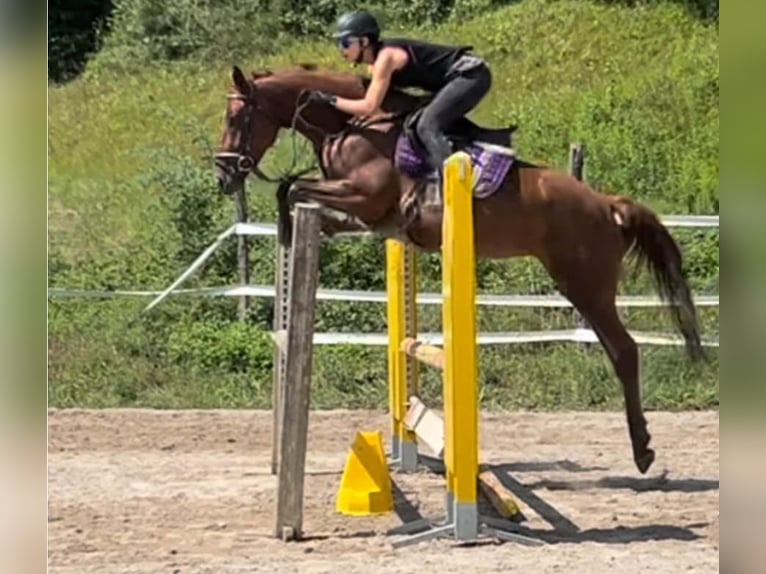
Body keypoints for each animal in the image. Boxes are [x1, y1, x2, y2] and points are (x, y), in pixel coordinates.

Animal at [213, 63, 704, 476]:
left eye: (236, 118)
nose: (223, 174)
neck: (347, 127)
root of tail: (607, 204)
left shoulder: (364, 196)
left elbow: (293, 188)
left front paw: (288, 231)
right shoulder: (367, 215)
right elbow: (297, 193)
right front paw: (291, 237)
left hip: (587, 286)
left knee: (625, 351)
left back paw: (643, 450)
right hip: (581, 286)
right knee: (618, 350)